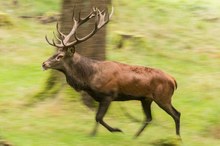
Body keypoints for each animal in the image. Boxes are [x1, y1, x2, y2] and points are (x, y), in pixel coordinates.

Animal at [42, 6, 180, 137]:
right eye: (55, 53)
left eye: (60, 56)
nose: (44, 64)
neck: (89, 78)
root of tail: (174, 80)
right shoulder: (100, 98)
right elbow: (97, 117)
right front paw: (95, 133)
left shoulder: (109, 95)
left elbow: (98, 117)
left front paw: (116, 130)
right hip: (146, 99)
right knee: (149, 118)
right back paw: (135, 137)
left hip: (163, 97)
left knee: (176, 114)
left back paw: (178, 137)